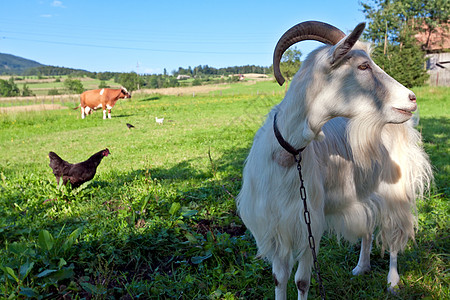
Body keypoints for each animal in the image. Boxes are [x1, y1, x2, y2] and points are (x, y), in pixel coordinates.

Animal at [237, 19, 430, 298]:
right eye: (363, 66)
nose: (411, 98)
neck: (288, 155)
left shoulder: (310, 223)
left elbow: (302, 281)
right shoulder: (276, 227)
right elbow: (279, 278)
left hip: (396, 188)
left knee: (394, 234)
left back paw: (392, 282)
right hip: (364, 188)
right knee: (368, 226)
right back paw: (362, 267)